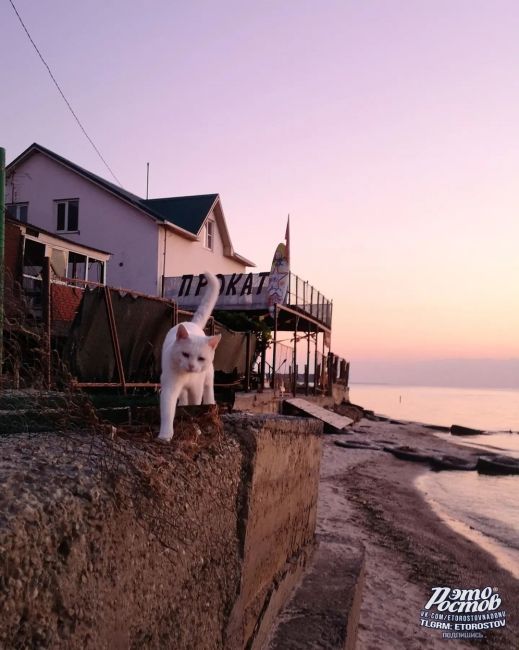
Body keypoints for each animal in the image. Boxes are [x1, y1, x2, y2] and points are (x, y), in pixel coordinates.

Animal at [159, 268, 222, 440]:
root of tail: (192, 324)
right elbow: (168, 410)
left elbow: (195, 406)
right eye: (185, 354)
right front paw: (165, 434)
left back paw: (210, 405)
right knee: (183, 399)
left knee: (208, 393)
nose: (192, 366)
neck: (187, 376)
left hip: (208, 379)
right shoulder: (170, 386)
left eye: (201, 358)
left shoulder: (196, 389)